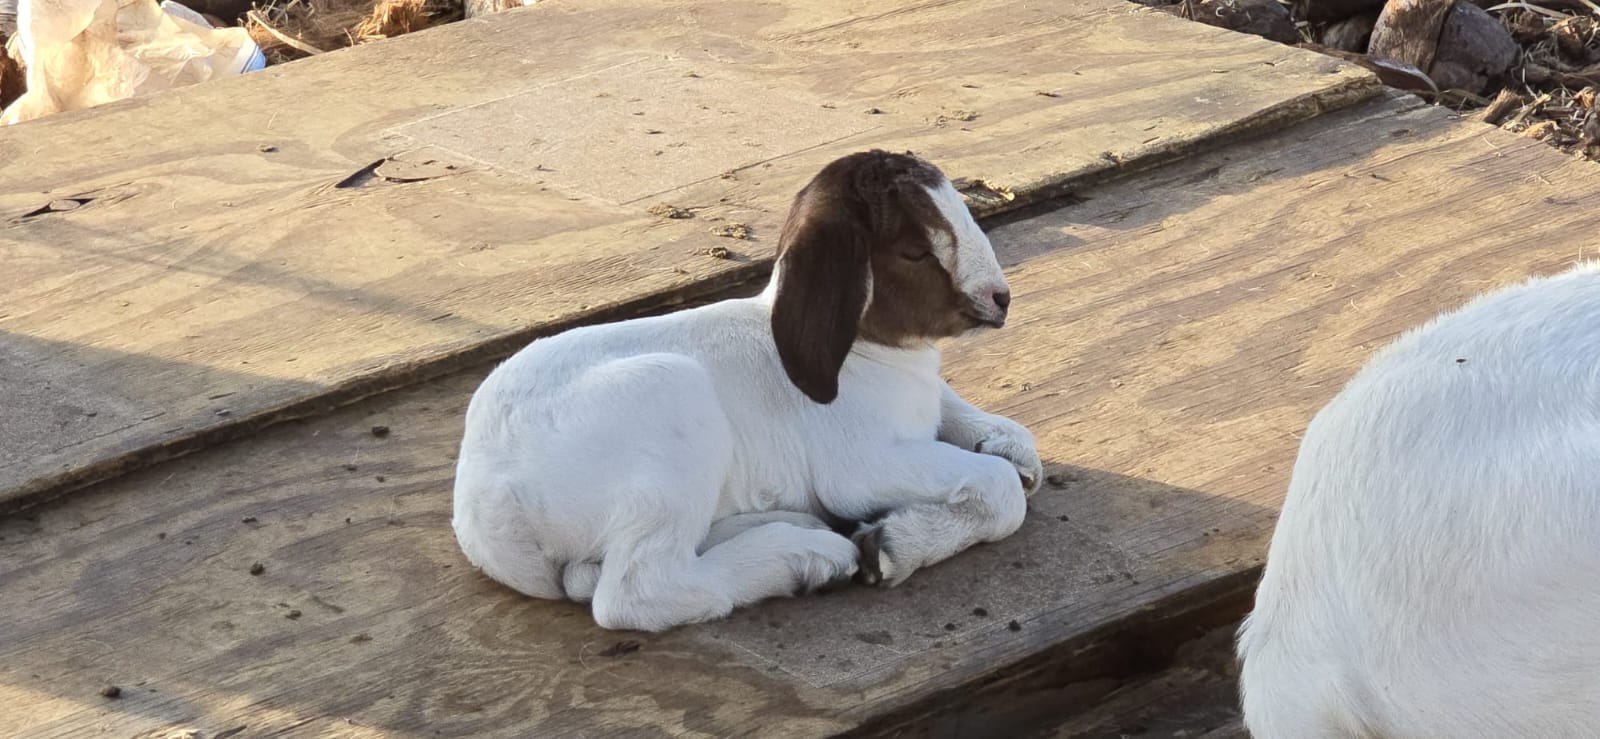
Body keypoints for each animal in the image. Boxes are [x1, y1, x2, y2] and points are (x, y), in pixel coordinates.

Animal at [452, 150, 1045, 632]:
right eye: (916, 251)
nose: (1001, 299)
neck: (872, 355)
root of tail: (484, 519)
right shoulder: (861, 464)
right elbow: (1000, 491)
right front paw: (891, 547)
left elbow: (976, 425)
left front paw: (1008, 445)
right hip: (669, 406)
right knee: (640, 591)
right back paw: (807, 557)